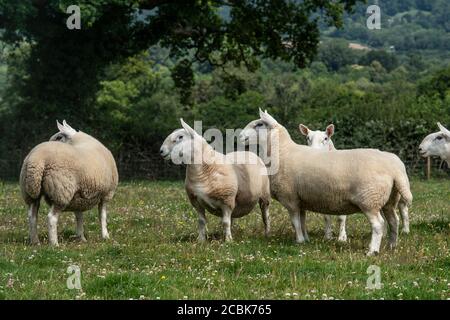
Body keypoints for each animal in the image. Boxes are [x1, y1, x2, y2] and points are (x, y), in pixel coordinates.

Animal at [241, 110, 414, 255]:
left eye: (259, 124)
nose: (241, 136)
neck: (282, 152)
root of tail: (394, 168)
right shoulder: (301, 199)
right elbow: (302, 221)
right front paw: (306, 240)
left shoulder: (290, 197)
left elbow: (295, 221)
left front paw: (299, 240)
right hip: (389, 199)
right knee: (394, 221)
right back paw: (392, 246)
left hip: (370, 199)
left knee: (378, 224)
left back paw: (372, 251)